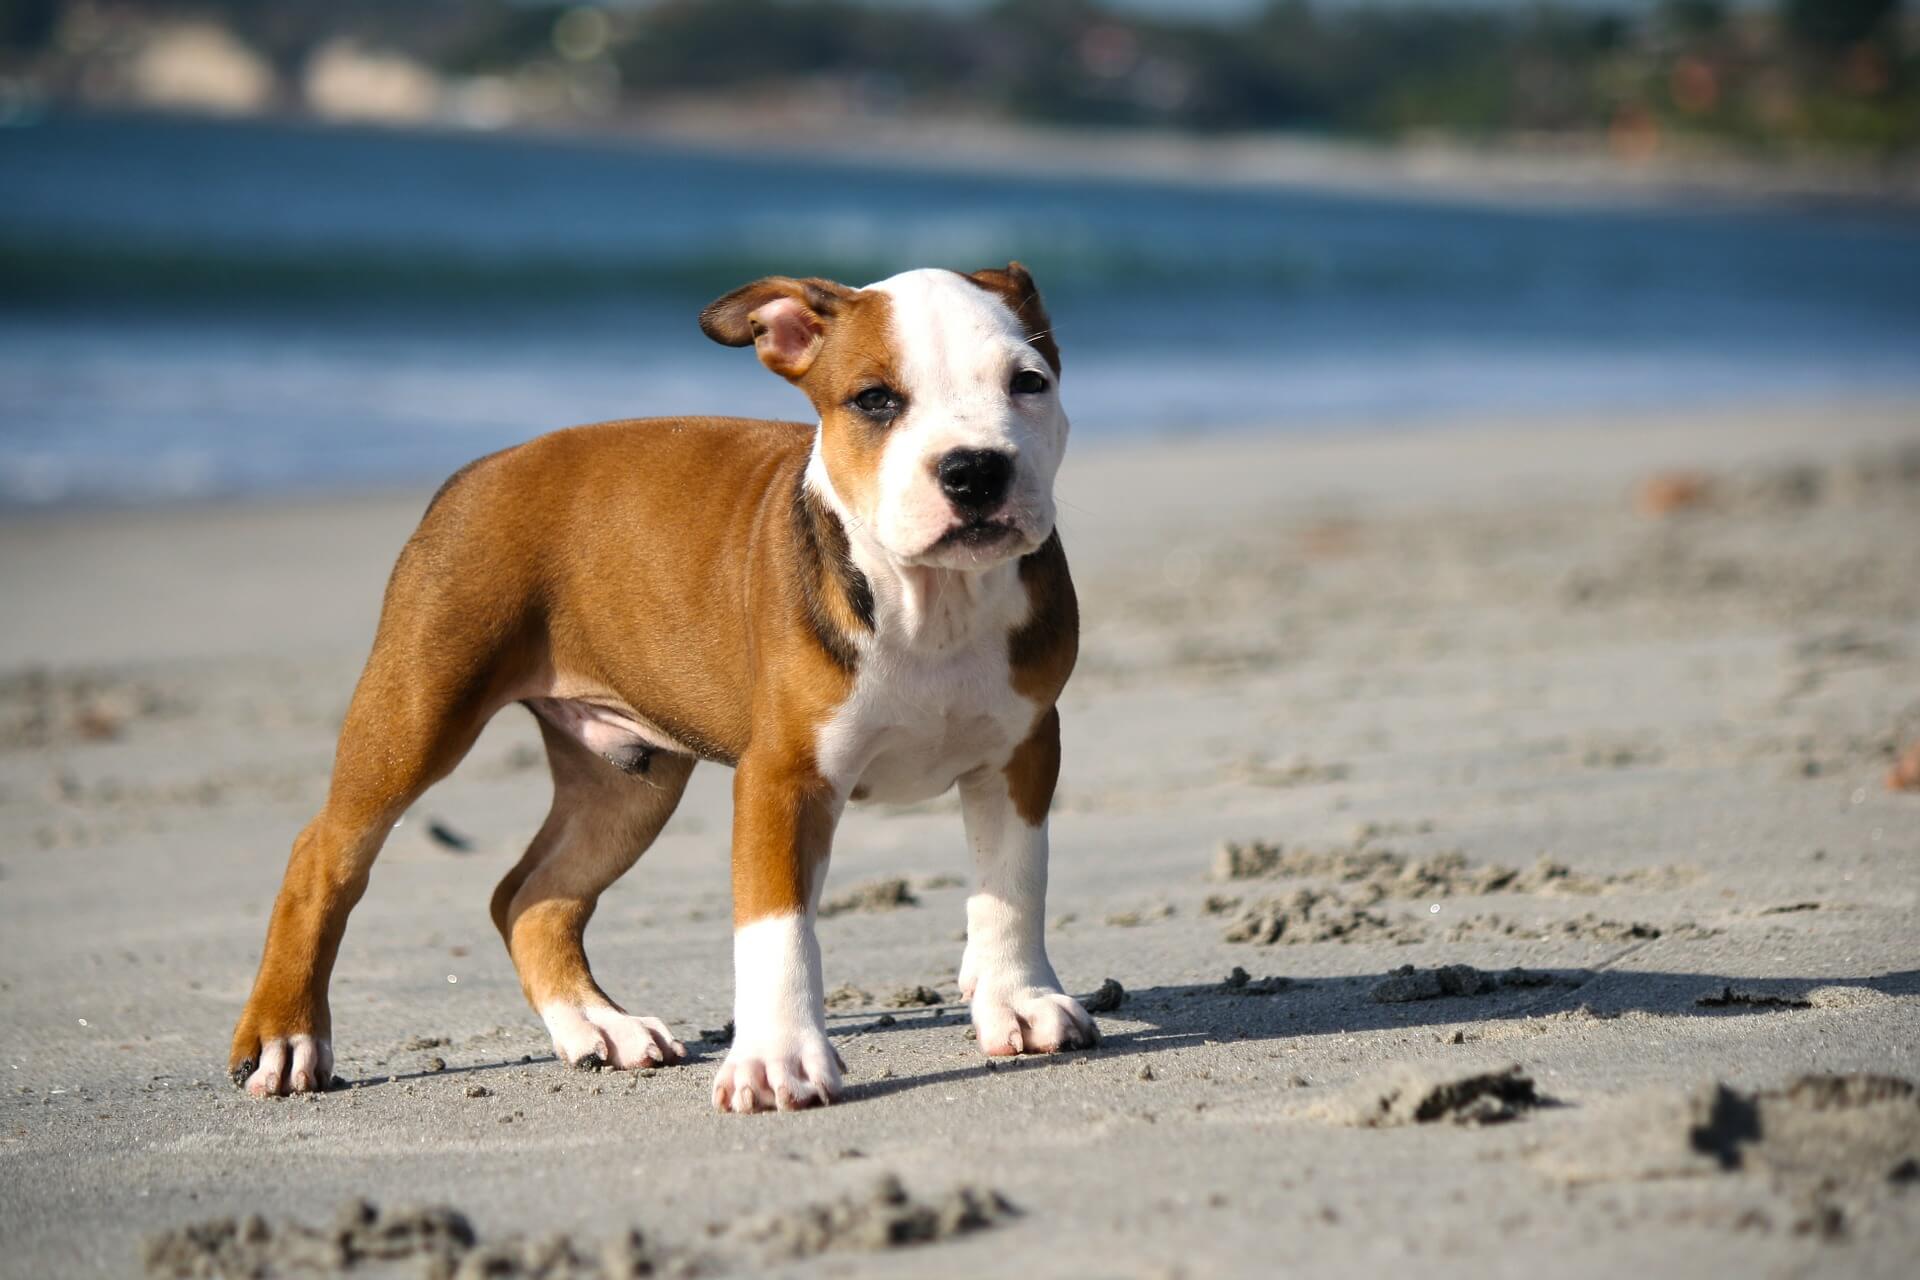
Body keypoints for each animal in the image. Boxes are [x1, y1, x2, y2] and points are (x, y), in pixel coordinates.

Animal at [228, 262, 1098, 1113]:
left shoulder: (1022, 753)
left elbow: (1012, 883)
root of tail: (481, 469)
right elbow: (778, 929)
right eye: (875, 400)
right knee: (324, 855)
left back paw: (597, 1026)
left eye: (1029, 382)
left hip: (625, 785)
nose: (975, 467)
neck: (933, 602)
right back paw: (284, 1037)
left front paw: (1019, 999)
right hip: (417, 709)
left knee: (530, 897)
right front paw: (778, 1059)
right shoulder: (783, 779)